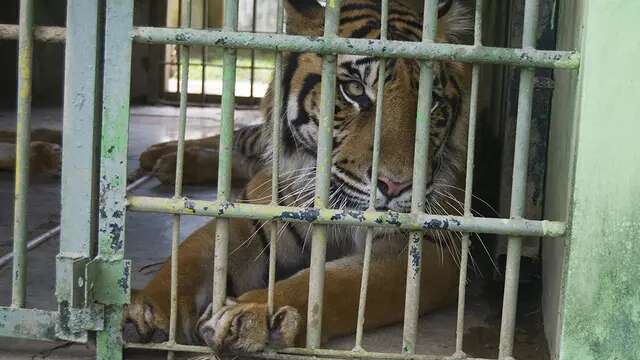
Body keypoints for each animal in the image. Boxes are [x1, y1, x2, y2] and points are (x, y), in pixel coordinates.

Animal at [126, 0, 476, 352]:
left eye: (432, 104)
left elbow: (333, 283)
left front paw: (254, 315)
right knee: (238, 138)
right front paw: (149, 311)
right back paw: (162, 156)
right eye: (354, 90)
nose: (397, 185)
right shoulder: (252, 219)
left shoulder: (426, 246)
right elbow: (190, 256)